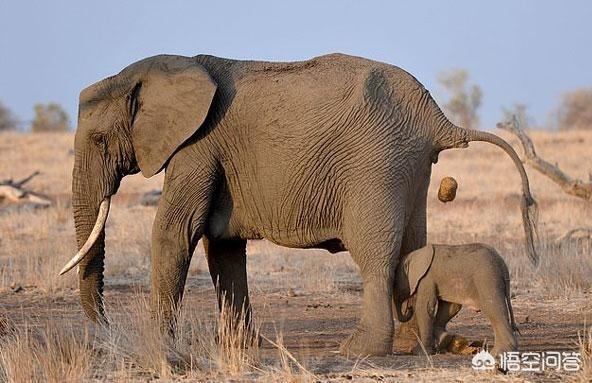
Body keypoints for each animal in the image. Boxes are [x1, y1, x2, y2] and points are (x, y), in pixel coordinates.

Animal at [62, 54, 540, 356]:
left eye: (100, 140)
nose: (103, 334)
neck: (157, 68)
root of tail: (438, 119)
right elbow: (224, 247)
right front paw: (240, 348)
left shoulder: (196, 147)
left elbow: (175, 231)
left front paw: (159, 346)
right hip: (409, 165)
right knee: (411, 248)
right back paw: (410, 347)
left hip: (376, 162)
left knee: (376, 256)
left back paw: (360, 351)